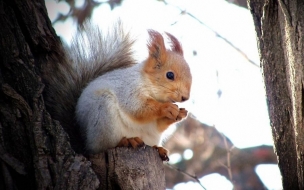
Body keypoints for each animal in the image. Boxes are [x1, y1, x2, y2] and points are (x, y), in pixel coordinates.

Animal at [42, 21, 191, 161]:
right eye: (170, 75)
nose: (185, 98)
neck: (149, 85)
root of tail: (84, 142)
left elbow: (158, 124)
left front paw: (180, 113)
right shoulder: (128, 89)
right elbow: (137, 108)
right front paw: (166, 108)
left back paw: (158, 148)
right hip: (103, 115)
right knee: (103, 146)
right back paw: (127, 141)